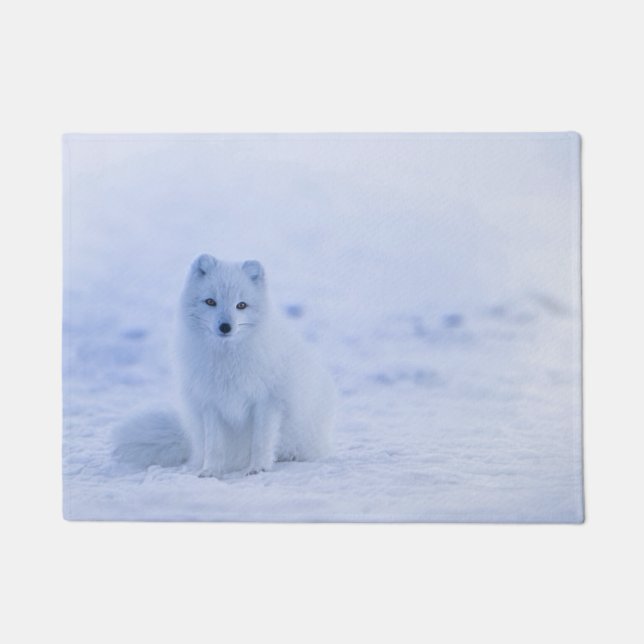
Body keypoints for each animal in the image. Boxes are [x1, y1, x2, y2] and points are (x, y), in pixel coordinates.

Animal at [111, 254, 336, 478]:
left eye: (241, 305)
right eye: (211, 302)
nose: (225, 327)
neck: (227, 359)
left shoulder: (267, 400)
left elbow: (261, 441)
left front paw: (258, 468)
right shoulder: (210, 402)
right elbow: (214, 445)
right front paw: (210, 471)